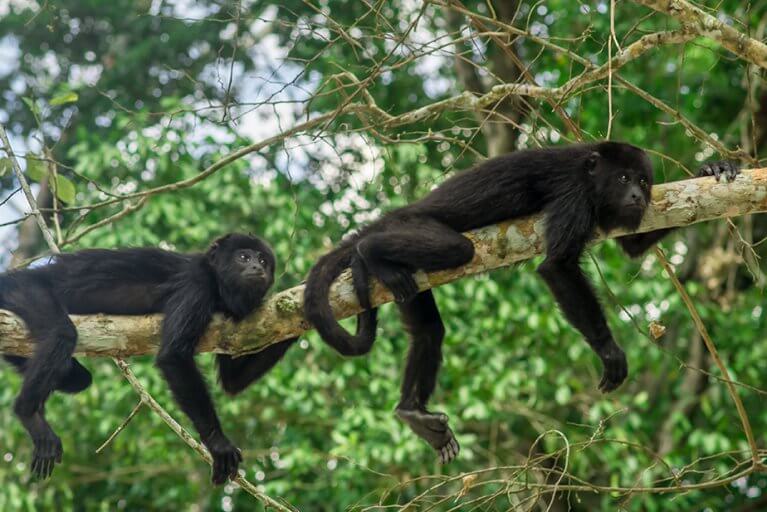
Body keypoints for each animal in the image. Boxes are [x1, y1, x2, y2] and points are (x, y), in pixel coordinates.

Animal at [0, 233, 297, 483]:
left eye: (263, 260)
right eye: (243, 257)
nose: (258, 268)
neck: (218, 283)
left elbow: (231, 381)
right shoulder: (197, 283)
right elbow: (174, 356)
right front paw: (218, 444)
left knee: (78, 378)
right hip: (26, 290)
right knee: (60, 334)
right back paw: (29, 413)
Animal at [304, 141, 739, 464]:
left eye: (645, 181)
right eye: (623, 178)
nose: (636, 194)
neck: (591, 174)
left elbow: (631, 247)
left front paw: (710, 169)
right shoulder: (573, 194)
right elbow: (557, 267)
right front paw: (609, 351)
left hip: (408, 284)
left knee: (428, 331)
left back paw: (411, 411)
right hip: (412, 226)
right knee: (456, 249)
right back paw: (367, 252)